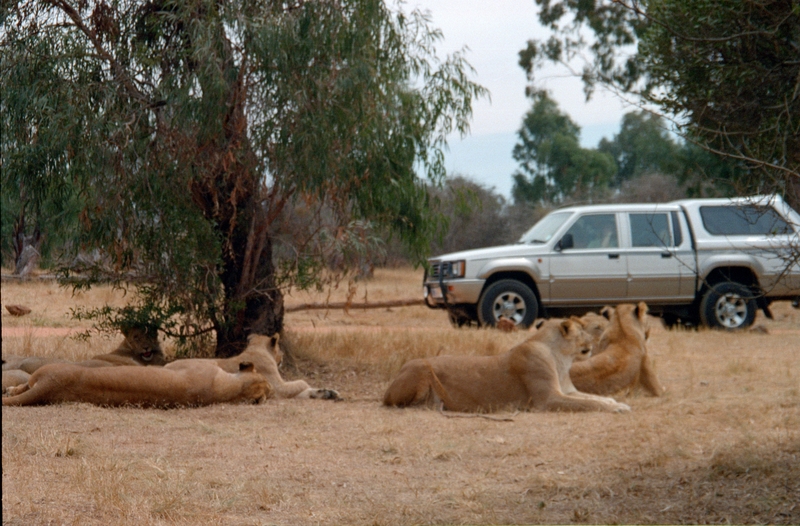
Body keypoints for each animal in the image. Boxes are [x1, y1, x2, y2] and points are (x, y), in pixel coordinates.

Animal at [382, 320, 632, 414]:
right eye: (582, 332)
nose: (594, 342)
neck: (561, 358)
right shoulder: (547, 399)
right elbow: (590, 403)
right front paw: (617, 408)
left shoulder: (567, 391)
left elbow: (596, 397)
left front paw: (618, 403)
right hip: (421, 367)